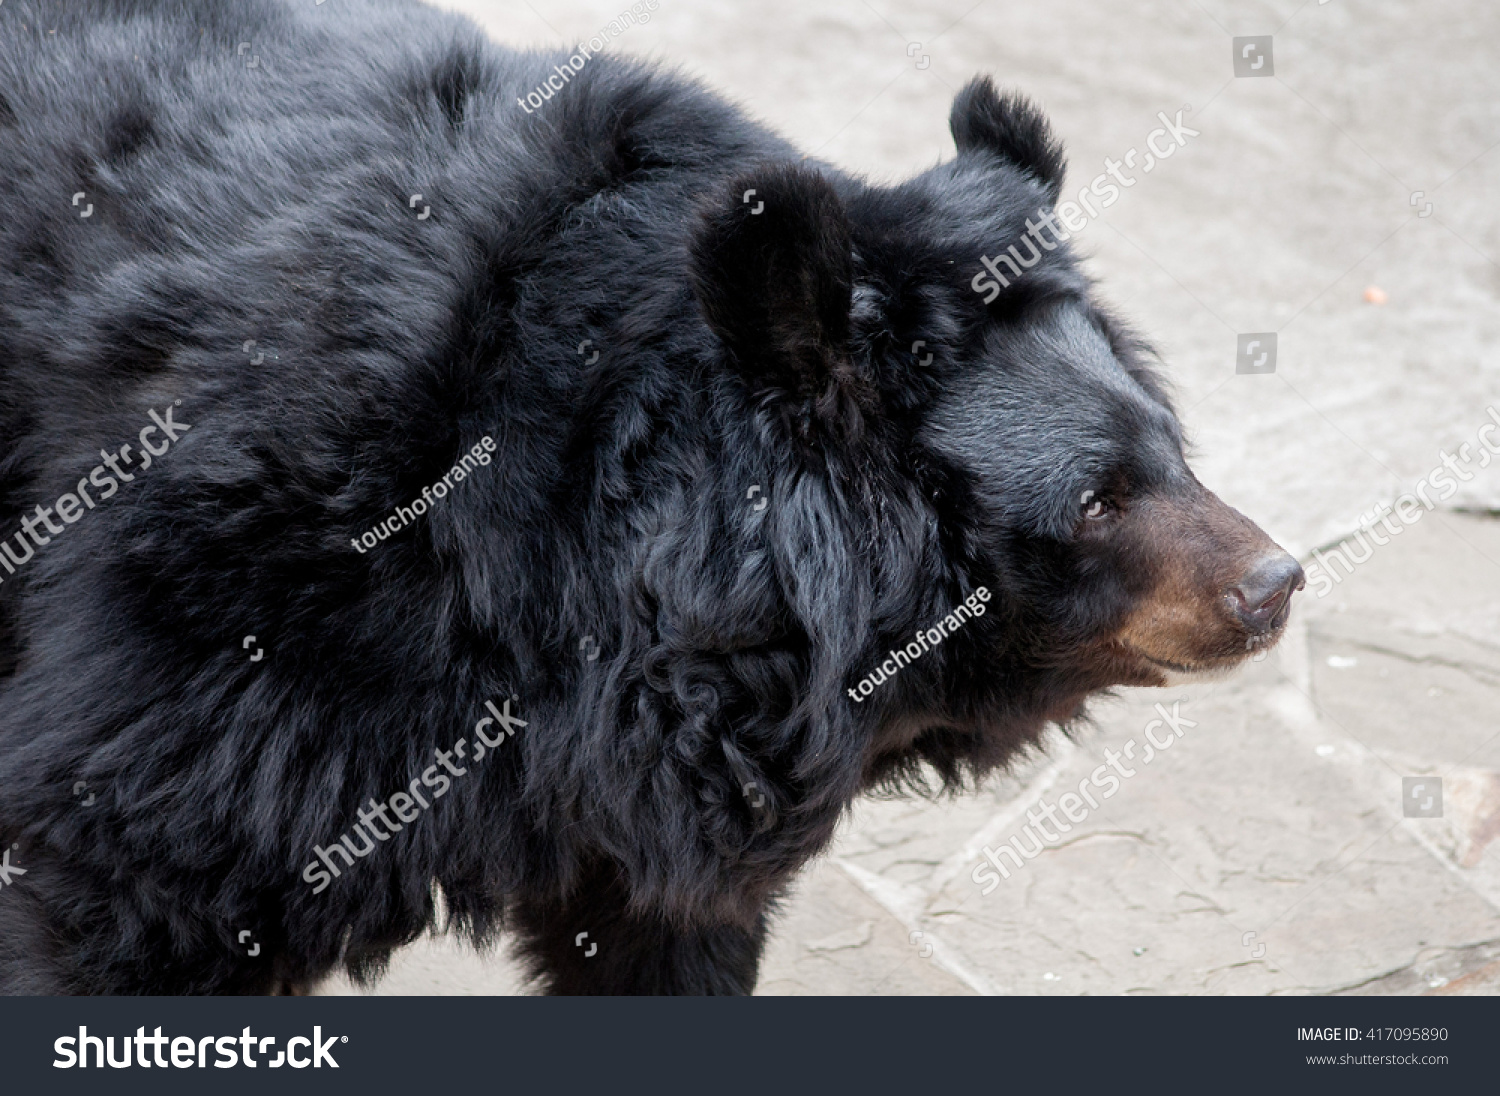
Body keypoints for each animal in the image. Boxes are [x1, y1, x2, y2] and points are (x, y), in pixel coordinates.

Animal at [0, 0, 1302, 995]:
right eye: (1098, 500)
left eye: (1173, 453)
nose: (1277, 583)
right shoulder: (261, 620)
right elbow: (127, 868)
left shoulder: (650, 775)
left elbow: (662, 936)